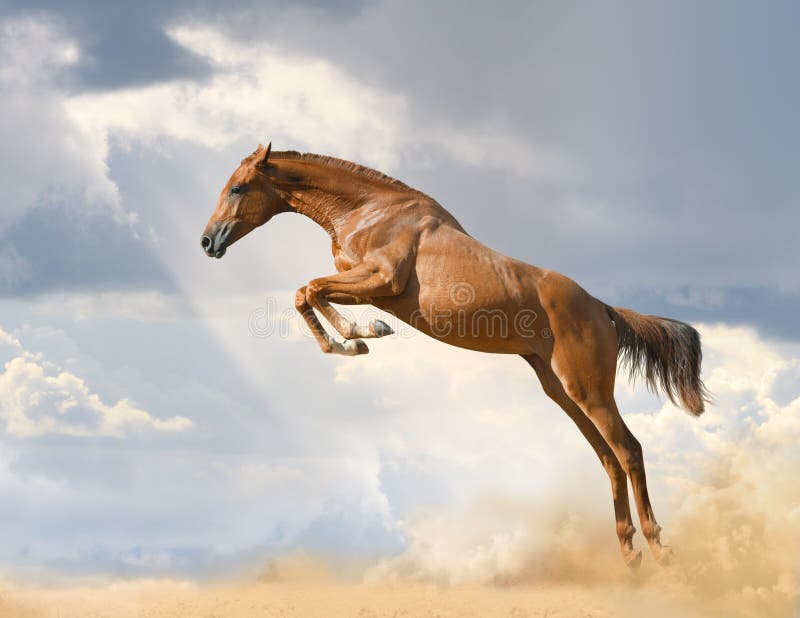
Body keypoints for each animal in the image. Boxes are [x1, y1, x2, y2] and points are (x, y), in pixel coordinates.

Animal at [201, 142, 709, 568]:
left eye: (238, 188)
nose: (209, 241)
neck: (369, 212)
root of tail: (601, 307)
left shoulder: (381, 280)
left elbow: (309, 289)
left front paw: (360, 337)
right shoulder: (365, 285)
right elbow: (306, 293)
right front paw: (355, 339)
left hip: (588, 390)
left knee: (629, 450)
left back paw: (658, 547)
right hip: (563, 393)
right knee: (607, 458)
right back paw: (628, 551)